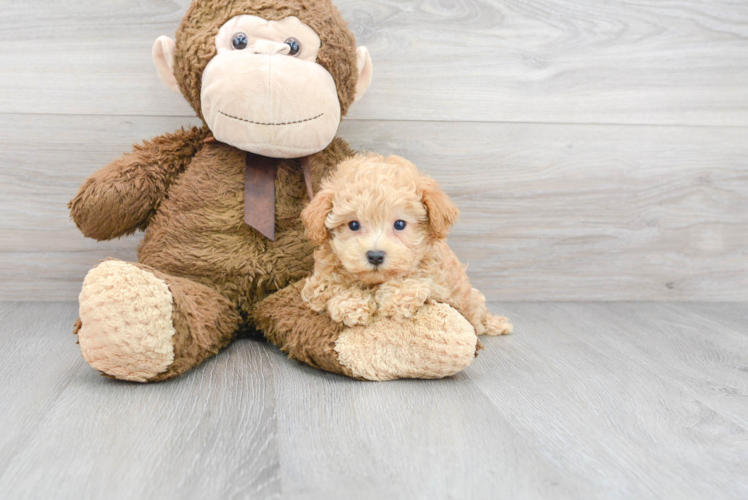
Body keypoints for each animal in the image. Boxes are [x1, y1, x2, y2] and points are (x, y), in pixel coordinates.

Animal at [300, 152, 512, 336]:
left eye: (400, 224)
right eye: (353, 225)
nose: (375, 256)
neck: (375, 282)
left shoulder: (437, 280)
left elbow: (414, 279)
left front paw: (397, 299)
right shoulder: (318, 284)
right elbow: (332, 288)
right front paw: (352, 305)